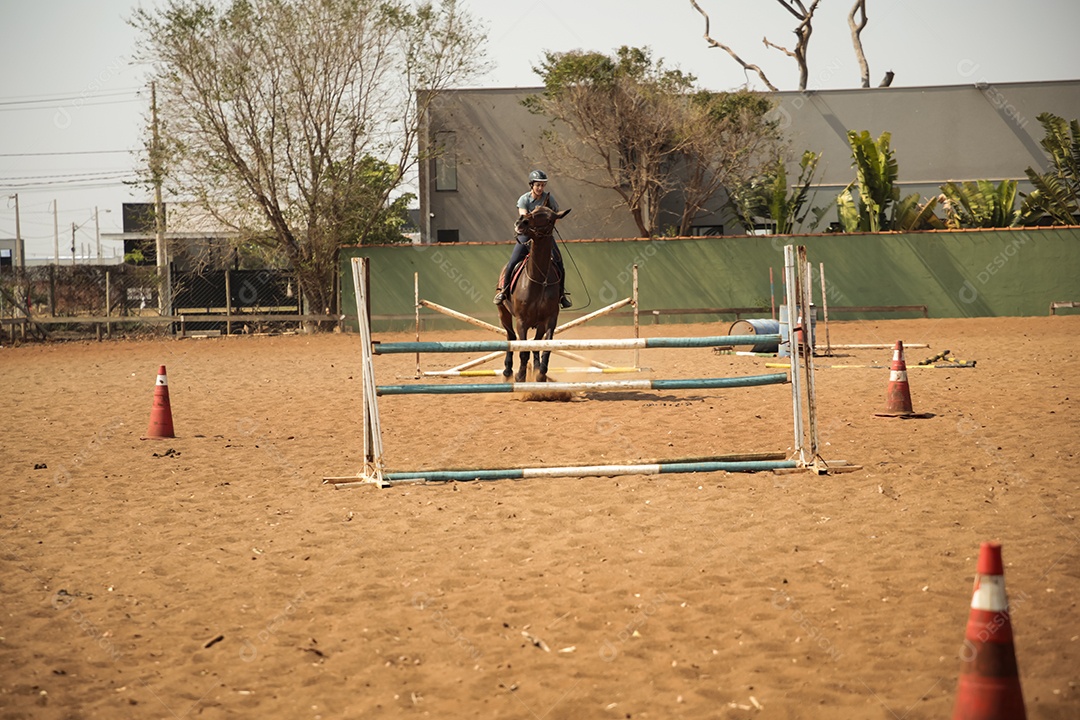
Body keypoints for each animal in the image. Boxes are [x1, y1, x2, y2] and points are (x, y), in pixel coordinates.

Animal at [494, 202, 570, 382]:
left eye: (550, 219)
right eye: (533, 211)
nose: (521, 222)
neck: (538, 280)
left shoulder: (549, 320)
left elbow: (544, 346)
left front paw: (540, 373)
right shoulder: (522, 322)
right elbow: (523, 351)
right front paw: (520, 375)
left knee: (535, 344)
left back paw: (535, 368)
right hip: (503, 313)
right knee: (511, 338)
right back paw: (508, 371)